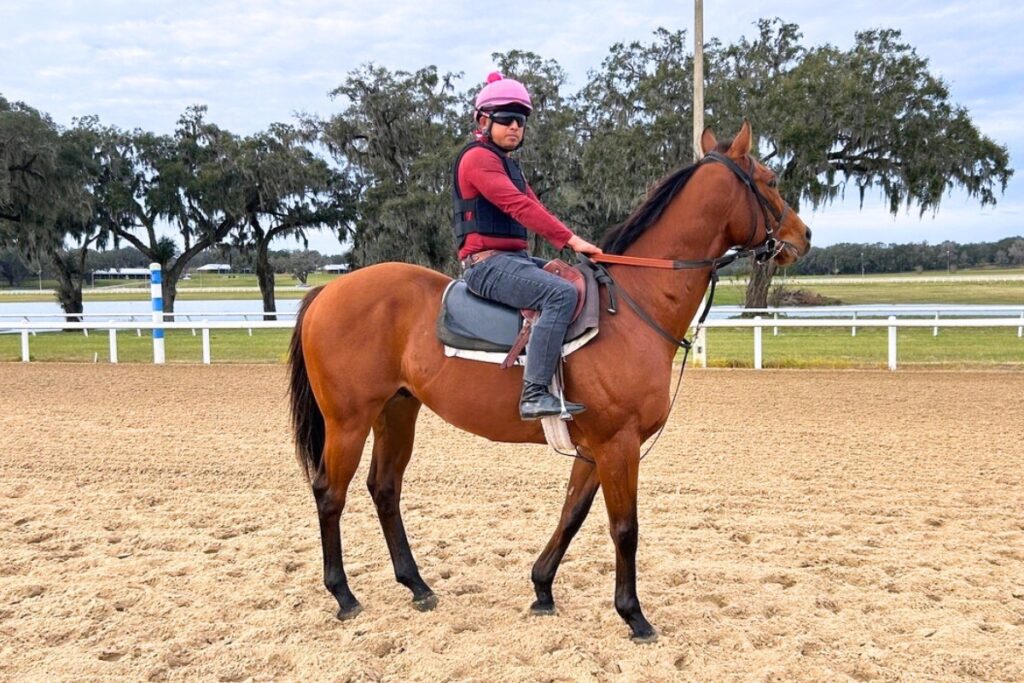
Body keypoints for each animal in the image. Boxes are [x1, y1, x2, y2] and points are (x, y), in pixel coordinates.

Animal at [288, 121, 812, 641]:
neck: (633, 305)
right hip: (349, 421)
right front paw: (634, 615)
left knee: (385, 489)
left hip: (397, 411)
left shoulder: (595, 449)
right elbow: (625, 528)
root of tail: (327, 292)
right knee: (330, 494)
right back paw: (344, 595)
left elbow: (572, 514)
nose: (803, 235)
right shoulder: (618, 444)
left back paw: (417, 585)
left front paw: (542, 588)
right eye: (769, 180)